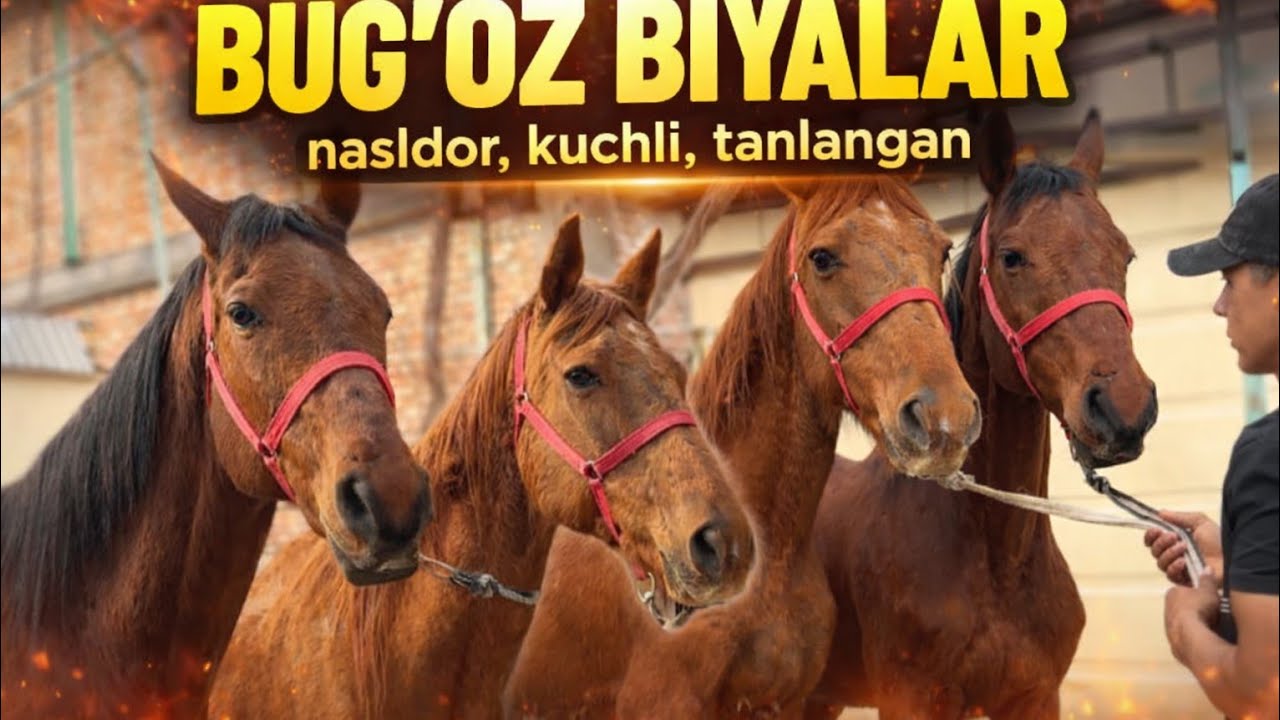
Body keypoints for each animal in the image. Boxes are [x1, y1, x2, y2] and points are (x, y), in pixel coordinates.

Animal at [803, 110, 1159, 720]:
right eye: (1012, 257)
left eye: (1125, 254)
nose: (1125, 407)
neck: (1000, 561)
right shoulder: (912, 702)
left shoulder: (1037, 698)